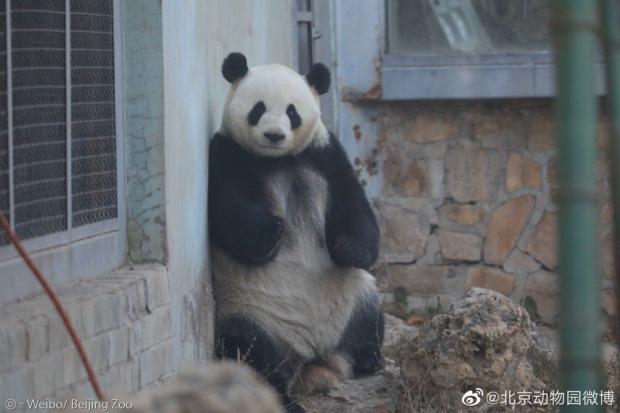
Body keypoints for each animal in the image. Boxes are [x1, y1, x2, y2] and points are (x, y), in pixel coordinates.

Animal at [209, 52, 382, 412]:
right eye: (258, 109)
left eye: (292, 112)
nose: (274, 135)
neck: (279, 160)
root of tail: (313, 357)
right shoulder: (227, 156)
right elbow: (230, 210)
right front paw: (273, 231)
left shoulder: (326, 155)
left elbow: (353, 204)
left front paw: (350, 249)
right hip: (250, 311)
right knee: (249, 352)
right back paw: (285, 399)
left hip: (355, 297)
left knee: (370, 317)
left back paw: (369, 358)